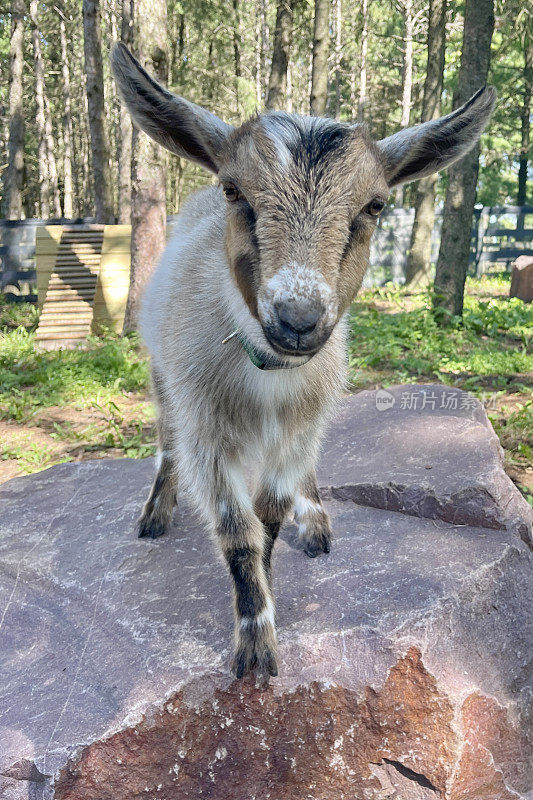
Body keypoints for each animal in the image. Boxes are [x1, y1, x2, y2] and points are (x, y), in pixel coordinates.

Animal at [111, 43, 494, 680]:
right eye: (234, 191)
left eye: (375, 204)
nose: (297, 318)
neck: (267, 375)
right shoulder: (207, 430)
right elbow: (237, 532)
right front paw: (255, 645)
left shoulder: (296, 425)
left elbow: (268, 518)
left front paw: (273, 590)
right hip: (162, 375)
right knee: (165, 440)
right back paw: (155, 514)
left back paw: (313, 519)